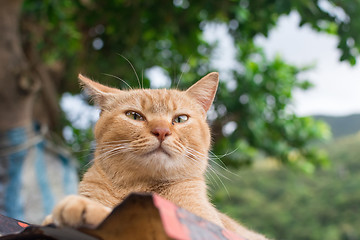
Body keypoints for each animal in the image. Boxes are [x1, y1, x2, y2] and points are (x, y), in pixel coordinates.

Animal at [43, 72, 268, 240]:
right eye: (134, 116)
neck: (140, 188)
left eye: (180, 119)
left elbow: (123, 217)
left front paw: (86, 208)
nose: (161, 131)